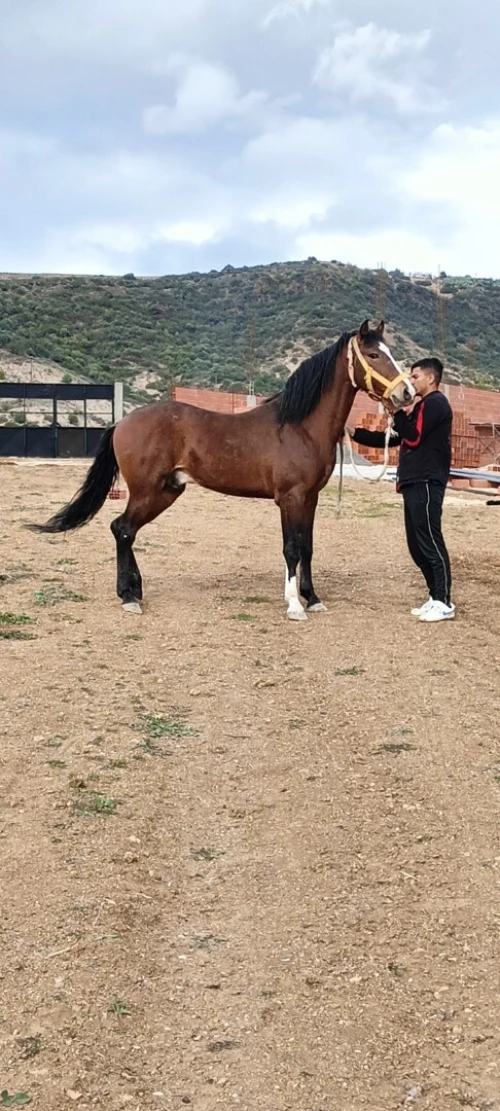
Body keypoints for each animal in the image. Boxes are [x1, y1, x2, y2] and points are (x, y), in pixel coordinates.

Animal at [28, 320, 415, 621]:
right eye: (375, 355)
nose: (407, 393)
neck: (299, 426)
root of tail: (123, 422)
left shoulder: (310, 499)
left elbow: (307, 548)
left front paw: (313, 598)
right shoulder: (290, 499)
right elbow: (291, 548)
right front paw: (294, 606)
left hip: (166, 491)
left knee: (126, 531)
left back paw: (135, 590)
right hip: (146, 490)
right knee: (122, 529)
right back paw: (128, 597)